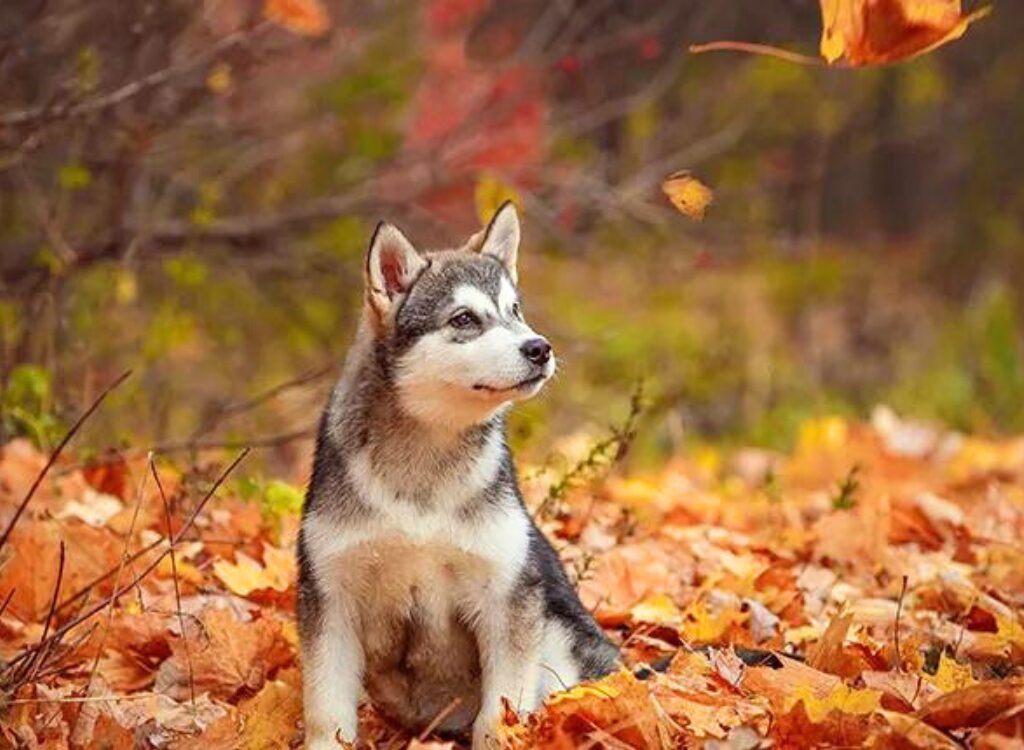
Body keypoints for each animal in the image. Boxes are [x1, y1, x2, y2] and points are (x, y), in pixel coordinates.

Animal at [296, 200, 614, 750]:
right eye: (465, 319)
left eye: (515, 311)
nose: (540, 348)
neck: (424, 465)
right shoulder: (330, 599)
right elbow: (326, 713)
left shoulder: (508, 596)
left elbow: (499, 714)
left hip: (557, 639)